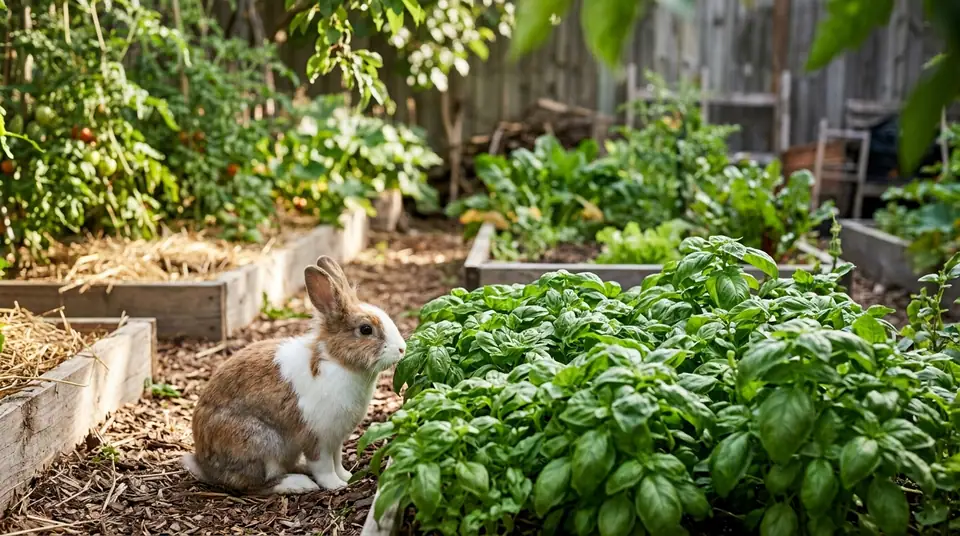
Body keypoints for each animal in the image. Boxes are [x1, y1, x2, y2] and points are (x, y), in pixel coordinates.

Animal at [181, 255, 407, 495]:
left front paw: (346, 476)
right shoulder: (317, 438)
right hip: (260, 442)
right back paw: (299, 483)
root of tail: (204, 465)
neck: (338, 361)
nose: (402, 349)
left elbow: (337, 461)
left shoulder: (336, 440)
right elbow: (324, 466)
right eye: (365, 329)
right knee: (254, 485)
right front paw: (336, 485)